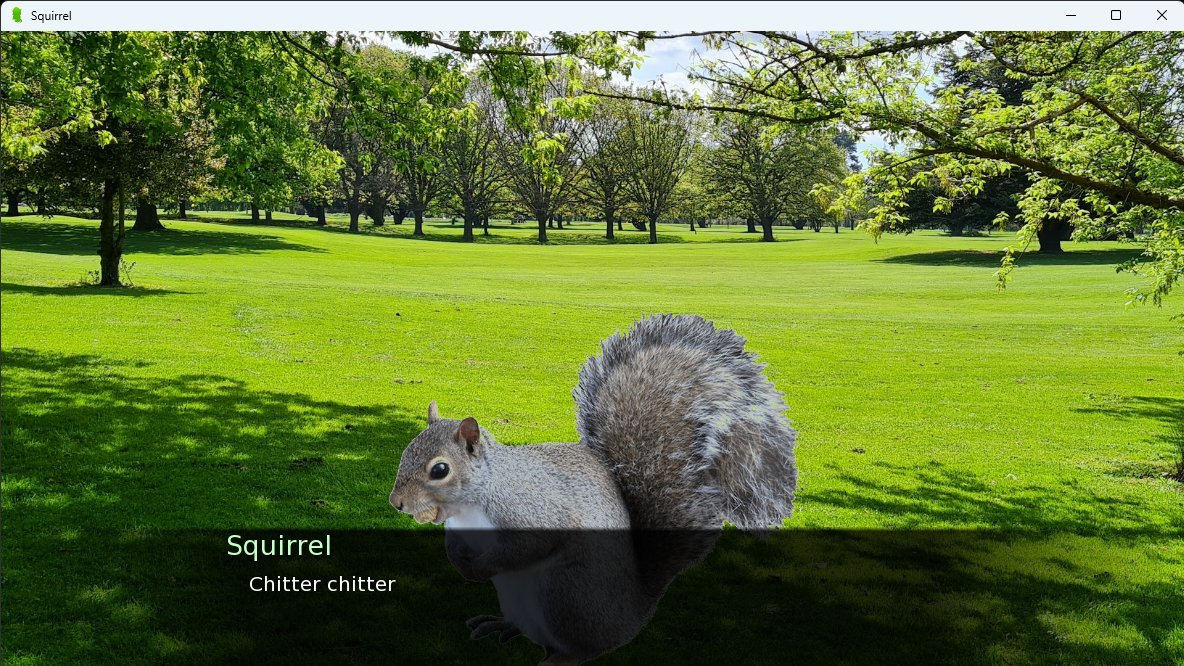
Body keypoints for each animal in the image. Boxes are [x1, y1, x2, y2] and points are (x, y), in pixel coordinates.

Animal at [389, 313, 798, 666]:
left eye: (440, 470)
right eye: (406, 450)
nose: (396, 502)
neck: (472, 503)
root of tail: (634, 612)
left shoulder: (531, 509)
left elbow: (530, 545)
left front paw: (480, 568)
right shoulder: (459, 530)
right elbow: (454, 546)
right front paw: (462, 566)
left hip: (564, 592)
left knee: (586, 647)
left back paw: (561, 658)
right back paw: (502, 625)